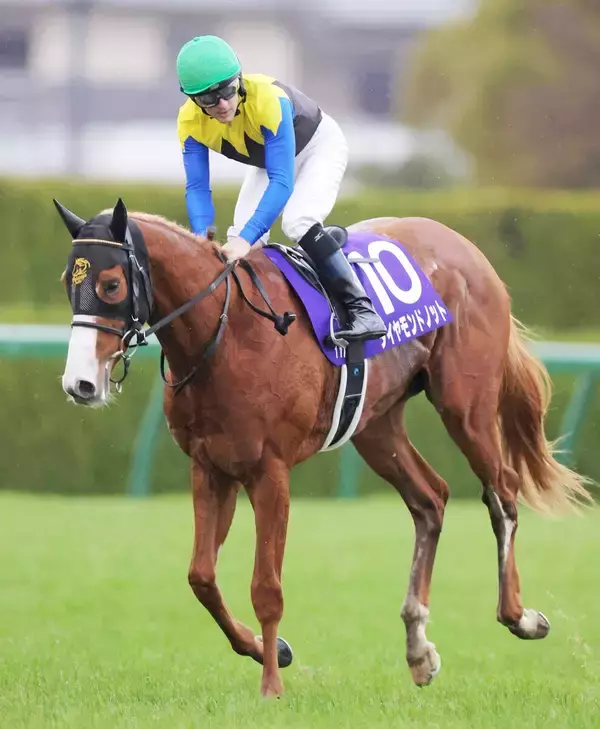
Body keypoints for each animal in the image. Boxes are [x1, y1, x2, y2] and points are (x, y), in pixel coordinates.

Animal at [55, 197, 593, 698]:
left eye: (110, 285)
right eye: (66, 280)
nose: (80, 384)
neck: (225, 333)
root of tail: (467, 249)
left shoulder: (270, 471)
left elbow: (266, 587)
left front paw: (271, 687)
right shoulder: (212, 466)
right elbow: (201, 577)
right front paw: (269, 650)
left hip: (466, 404)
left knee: (502, 493)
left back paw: (519, 616)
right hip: (376, 426)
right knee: (430, 499)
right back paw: (418, 647)